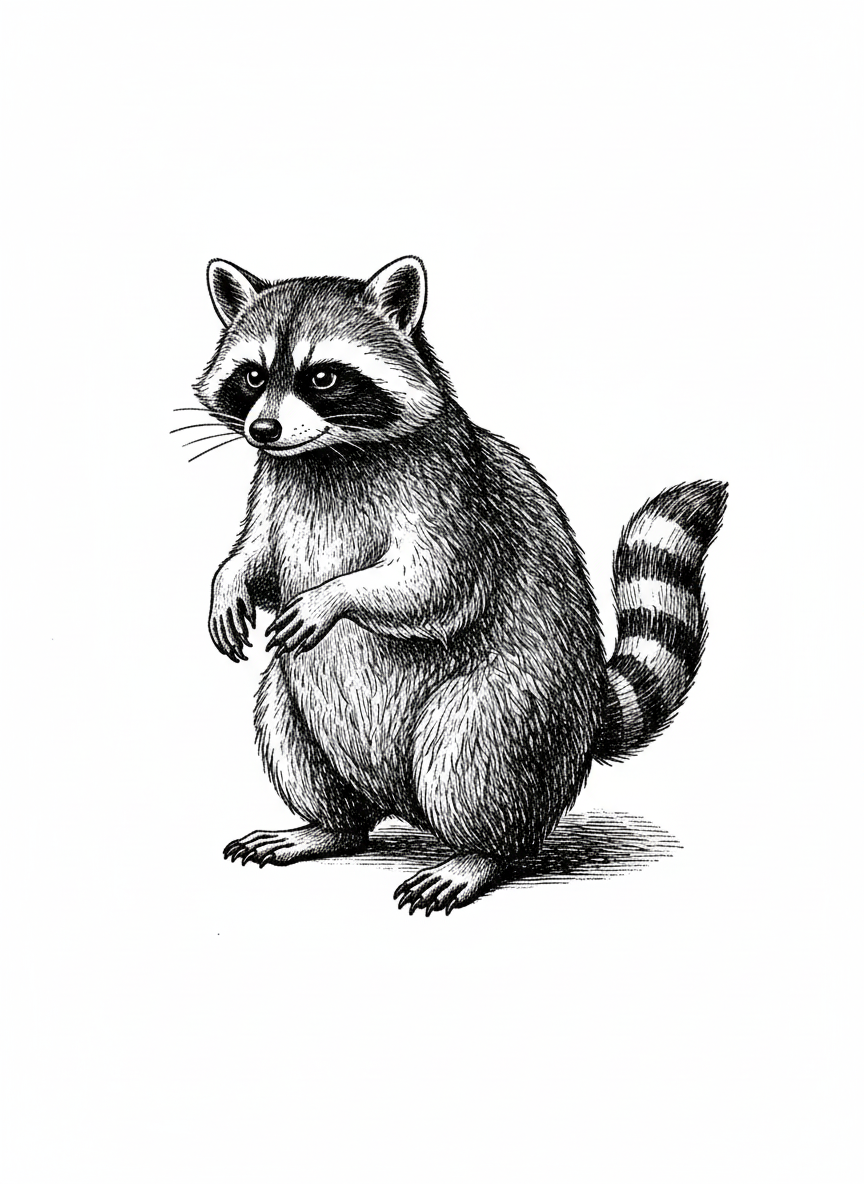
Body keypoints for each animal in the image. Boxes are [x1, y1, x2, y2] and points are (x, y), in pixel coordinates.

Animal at [187, 255, 727, 913]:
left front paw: (332, 597)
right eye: (252, 375)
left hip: (514, 712)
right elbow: (258, 557)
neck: (329, 454)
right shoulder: (273, 487)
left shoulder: (453, 494)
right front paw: (226, 583)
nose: (263, 429)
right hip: (297, 713)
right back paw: (327, 827)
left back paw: (479, 853)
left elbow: (438, 584)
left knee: (471, 753)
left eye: (323, 377)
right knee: (283, 723)